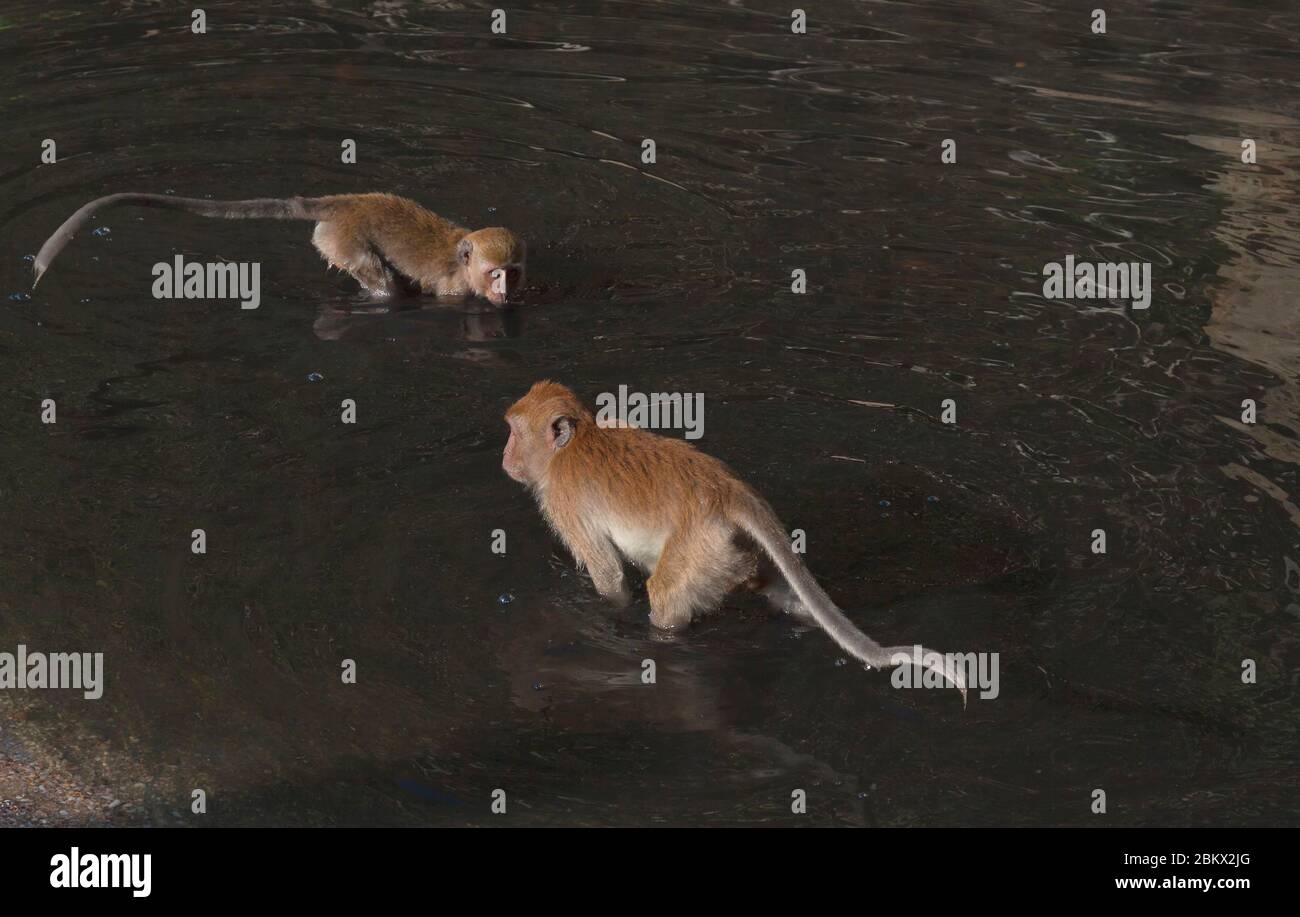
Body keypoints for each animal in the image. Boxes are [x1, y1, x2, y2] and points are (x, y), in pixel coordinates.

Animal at [503, 381, 968, 703]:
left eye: (514, 433)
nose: (504, 457)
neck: (577, 441)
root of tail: (727, 492)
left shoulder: (563, 502)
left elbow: (609, 576)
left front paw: (612, 612)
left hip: (700, 546)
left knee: (666, 593)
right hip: (729, 549)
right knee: (768, 586)